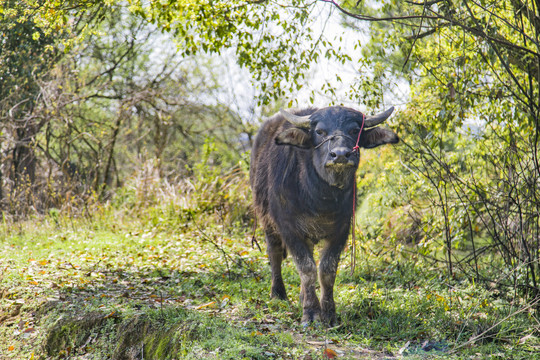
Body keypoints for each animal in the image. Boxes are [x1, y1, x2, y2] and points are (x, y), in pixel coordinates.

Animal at [251, 105, 398, 324]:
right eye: (320, 131)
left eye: (355, 130)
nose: (340, 155)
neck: (320, 198)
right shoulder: (288, 228)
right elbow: (307, 268)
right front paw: (311, 312)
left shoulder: (342, 229)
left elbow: (326, 270)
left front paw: (328, 313)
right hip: (267, 221)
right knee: (274, 253)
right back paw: (278, 293)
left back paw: (302, 295)